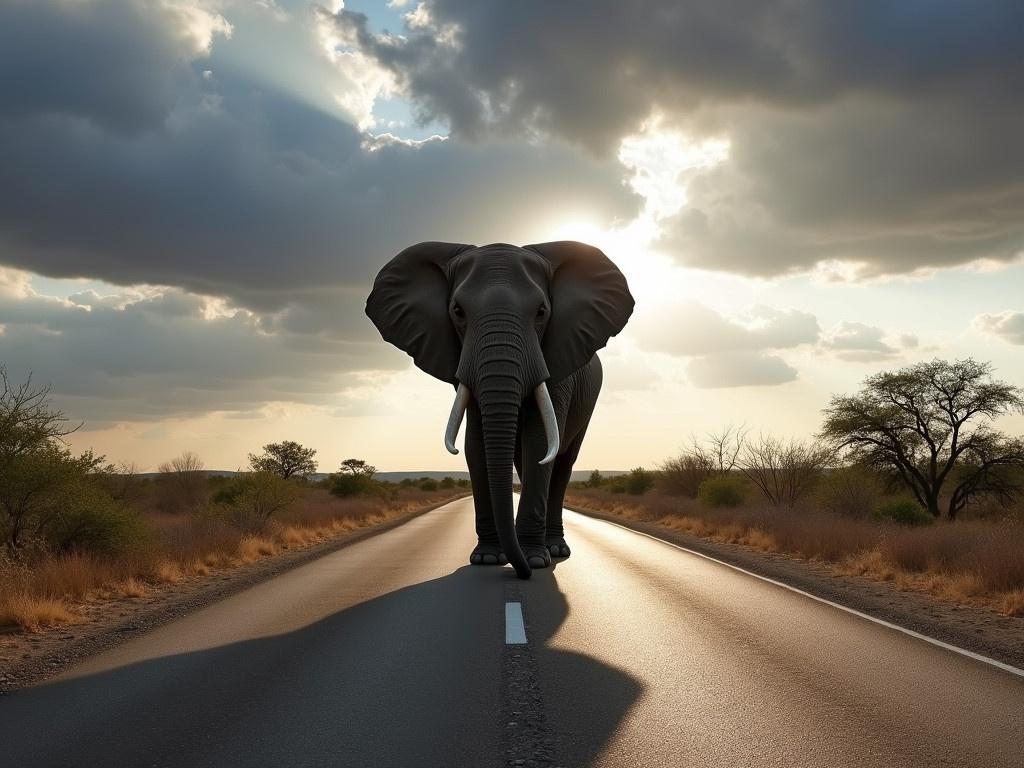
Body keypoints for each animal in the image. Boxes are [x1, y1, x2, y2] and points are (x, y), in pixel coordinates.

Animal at [368, 240, 630, 577]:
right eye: (457, 311)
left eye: (542, 312)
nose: (523, 573)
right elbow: (476, 445)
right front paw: (487, 558)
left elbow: (540, 443)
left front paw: (535, 560)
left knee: (562, 462)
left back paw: (555, 550)